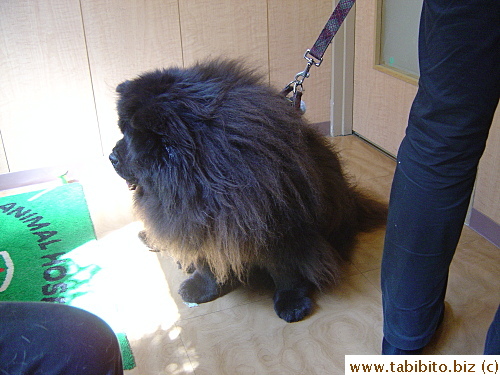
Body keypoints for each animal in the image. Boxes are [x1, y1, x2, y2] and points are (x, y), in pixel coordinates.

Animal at [110, 59, 386, 324]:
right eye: (121, 131)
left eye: (129, 138)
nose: (111, 157)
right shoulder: (203, 226)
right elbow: (208, 265)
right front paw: (201, 287)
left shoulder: (279, 231)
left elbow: (286, 272)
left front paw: (292, 303)